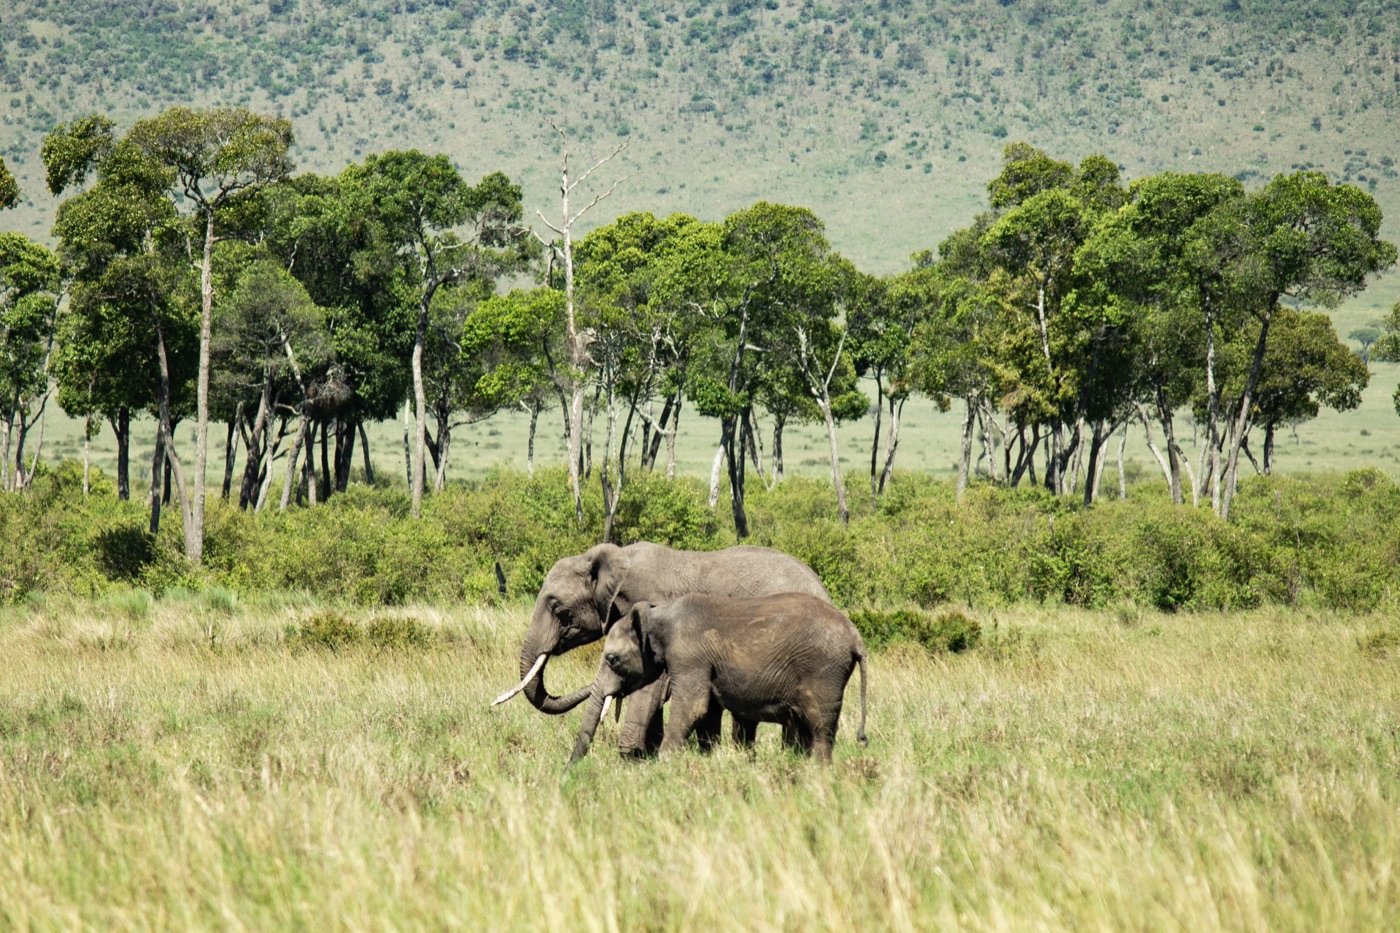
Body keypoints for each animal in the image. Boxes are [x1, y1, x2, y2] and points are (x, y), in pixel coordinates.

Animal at [567, 592, 869, 767]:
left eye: (612, 659)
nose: (568, 772)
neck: (657, 614)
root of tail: (856, 638)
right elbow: (708, 713)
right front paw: (707, 759)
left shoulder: (689, 657)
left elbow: (693, 707)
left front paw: (665, 765)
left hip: (824, 673)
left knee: (820, 729)